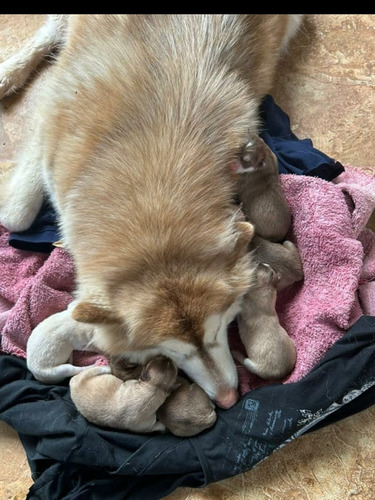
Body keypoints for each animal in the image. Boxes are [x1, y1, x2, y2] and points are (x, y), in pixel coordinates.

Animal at [0, 15, 304, 408]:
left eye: (220, 329)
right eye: (176, 351)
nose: (227, 401)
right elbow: (17, 214)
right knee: (53, 29)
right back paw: (10, 72)